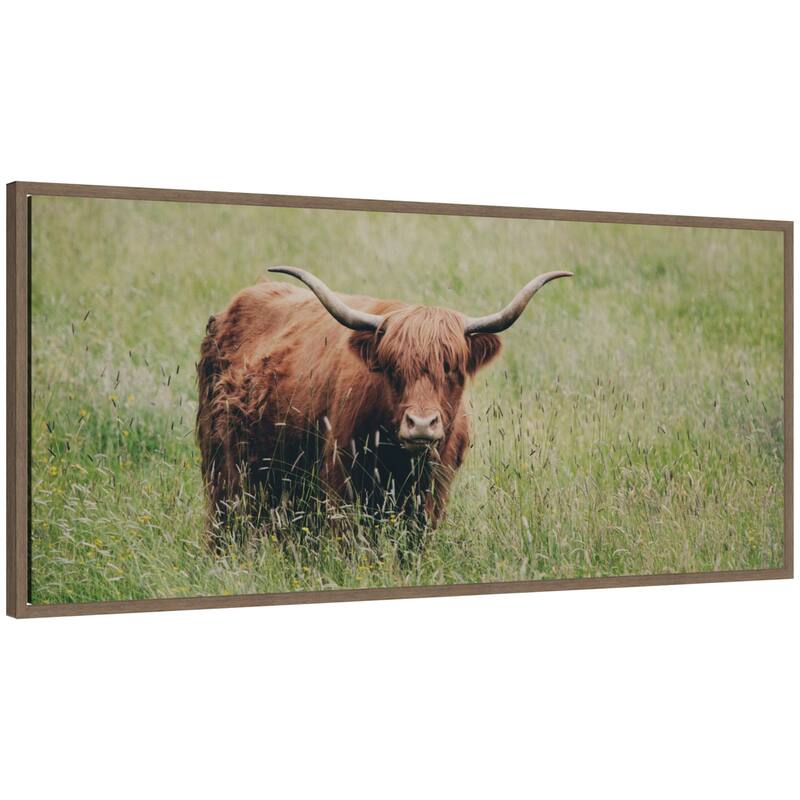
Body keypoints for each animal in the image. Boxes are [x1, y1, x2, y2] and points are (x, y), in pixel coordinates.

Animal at [196, 266, 571, 551]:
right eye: (393, 369)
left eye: (451, 369)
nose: (421, 425)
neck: (398, 461)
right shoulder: (341, 484)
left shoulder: (435, 492)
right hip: (222, 465)